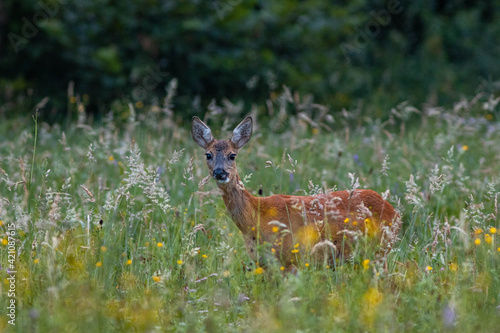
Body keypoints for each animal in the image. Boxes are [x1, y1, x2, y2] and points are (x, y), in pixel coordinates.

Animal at [191, 115, 398, 268]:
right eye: (208, 155)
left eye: (232, 155)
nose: (220, 172)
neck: (256, 218)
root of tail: (395, 212)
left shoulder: (290, 258)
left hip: (380, 250)